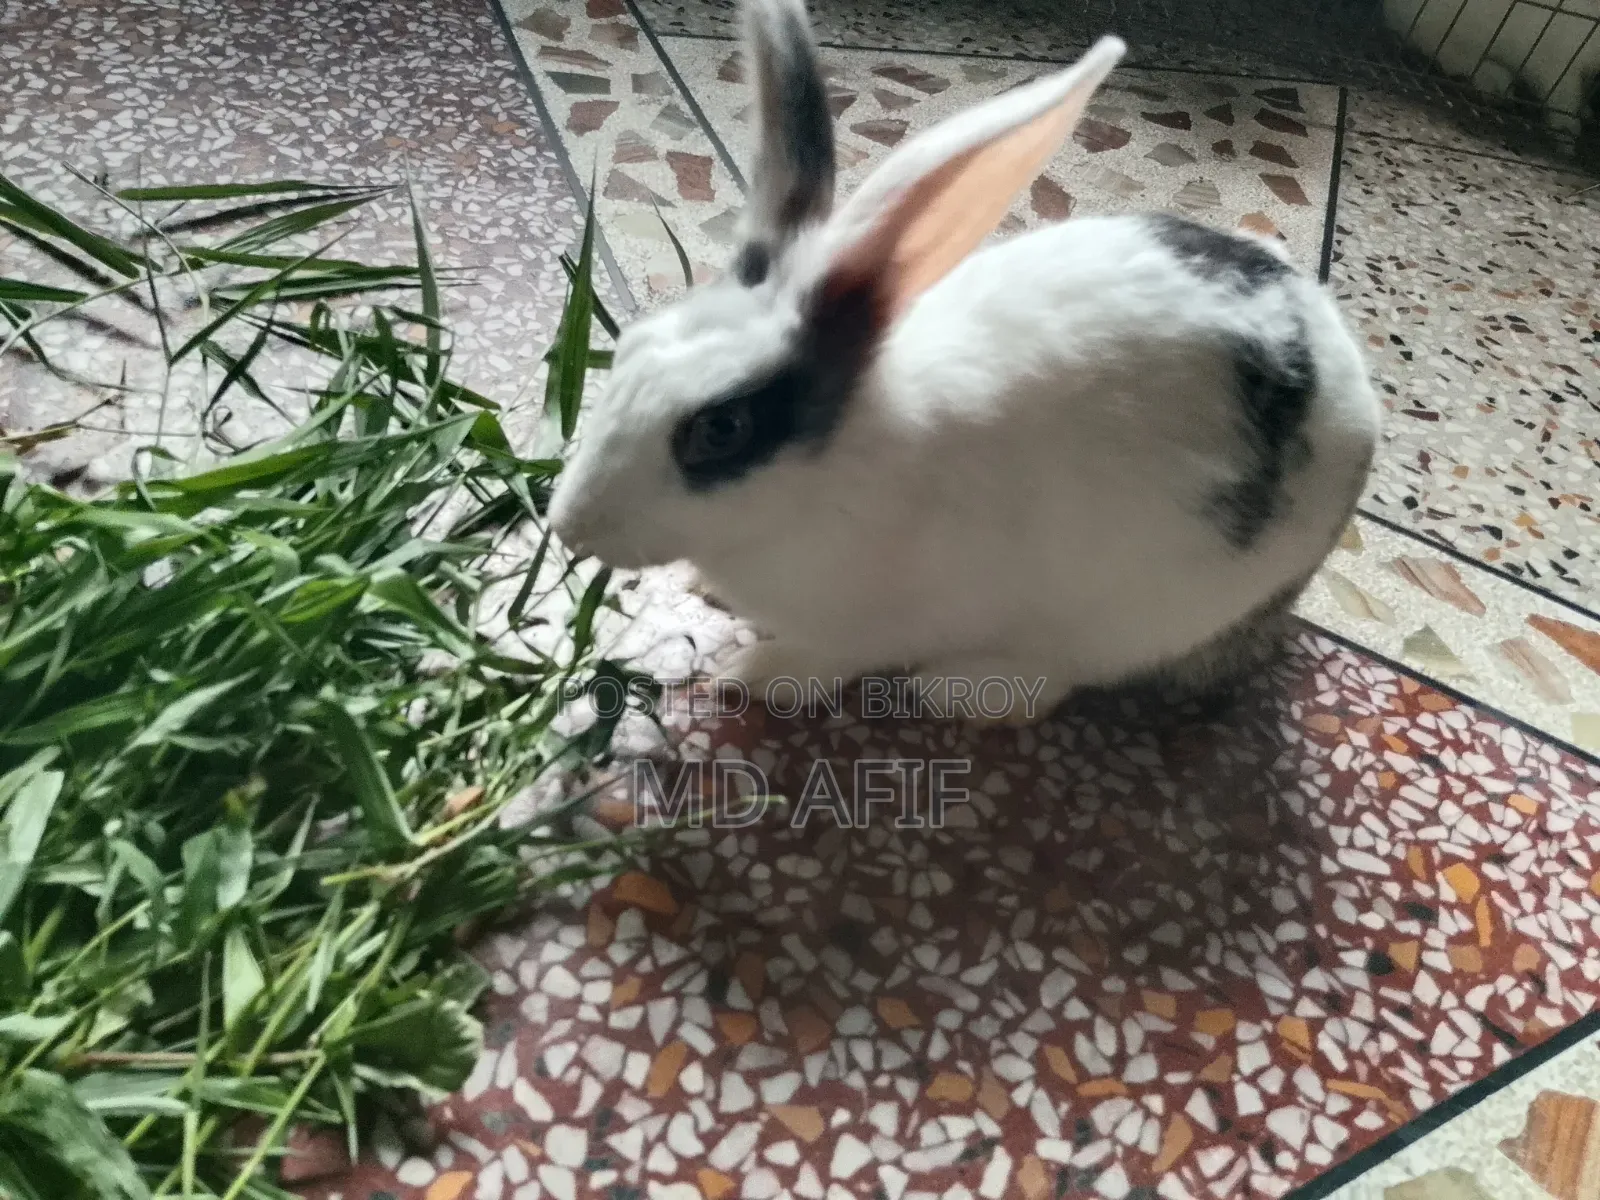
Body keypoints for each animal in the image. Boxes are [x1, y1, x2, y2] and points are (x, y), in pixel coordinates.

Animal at [546, 0, 1382, 727]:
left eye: (721, 429)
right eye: (629, 349)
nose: (566, 525)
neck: (830, 471)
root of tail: (1349, 391)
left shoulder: (875, 624)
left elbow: (826, 659)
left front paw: (750, 676)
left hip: (1139, 614)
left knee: (1058, 678)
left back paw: (957, 689)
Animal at [1383, 0, 1600, 137]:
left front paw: (1586, 113)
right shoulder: (1556, 66)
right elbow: (1563, 101)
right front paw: (1569, 133)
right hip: (1451, 37)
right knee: (1456, 61)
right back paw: (1499, 88)